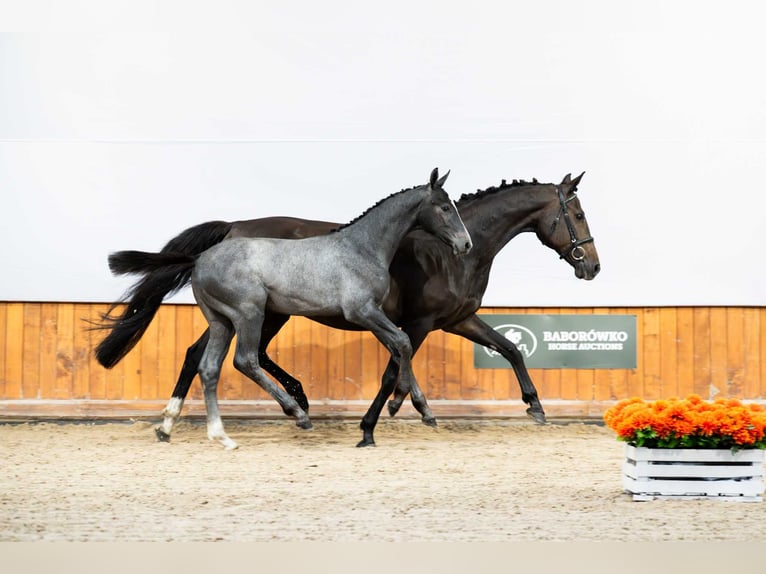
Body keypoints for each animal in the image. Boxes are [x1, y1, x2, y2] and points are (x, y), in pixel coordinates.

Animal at [96, 171, 599, 447]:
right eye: (576, 215)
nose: (592, 266)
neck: (453, 256)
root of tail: (232, 228)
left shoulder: (457, 320)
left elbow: (510, 349)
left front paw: (535, 407)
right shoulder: (418, 322)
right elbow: (394, 367)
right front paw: (383, 418)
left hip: (259, 314)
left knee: (205, 355)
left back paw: (174, 422)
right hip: (265, 313)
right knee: (235, 356)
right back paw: (289, 405)